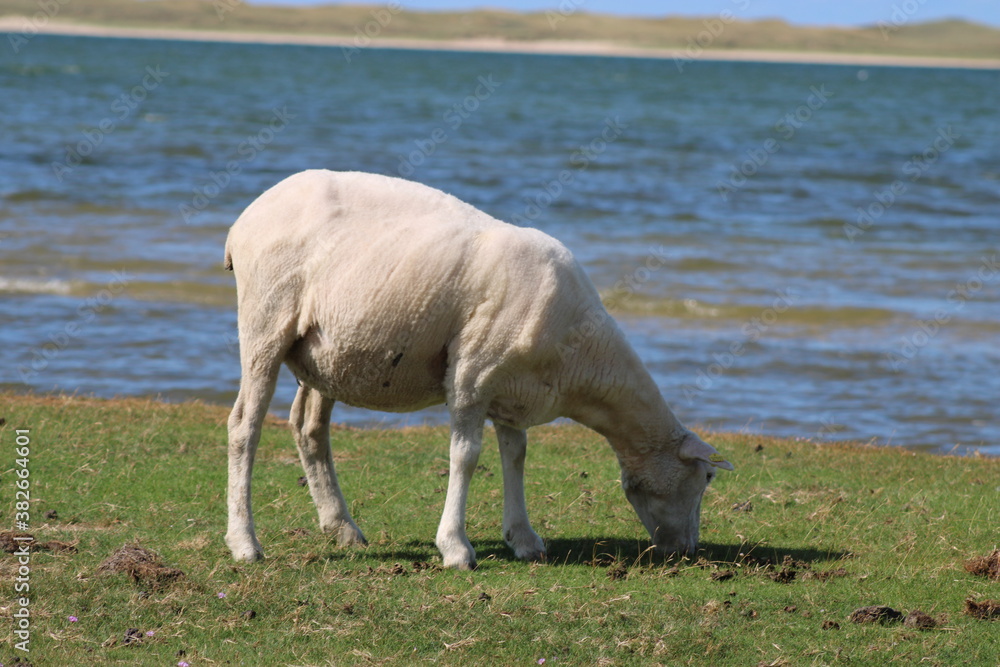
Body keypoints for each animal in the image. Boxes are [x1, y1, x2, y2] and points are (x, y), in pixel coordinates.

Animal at [223, 169, 734, 570]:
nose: (688, 551)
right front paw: (455, 548)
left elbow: (517, 457)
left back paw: (342, 527)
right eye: (706, 479)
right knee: (245, 425)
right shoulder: (473, 373)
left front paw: (523, 539)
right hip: (266, 320)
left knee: (308, 426)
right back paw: (245, 543)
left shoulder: (513, 390)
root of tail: (246, 217)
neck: (582, 357)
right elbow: (466, 456)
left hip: (326, 351)